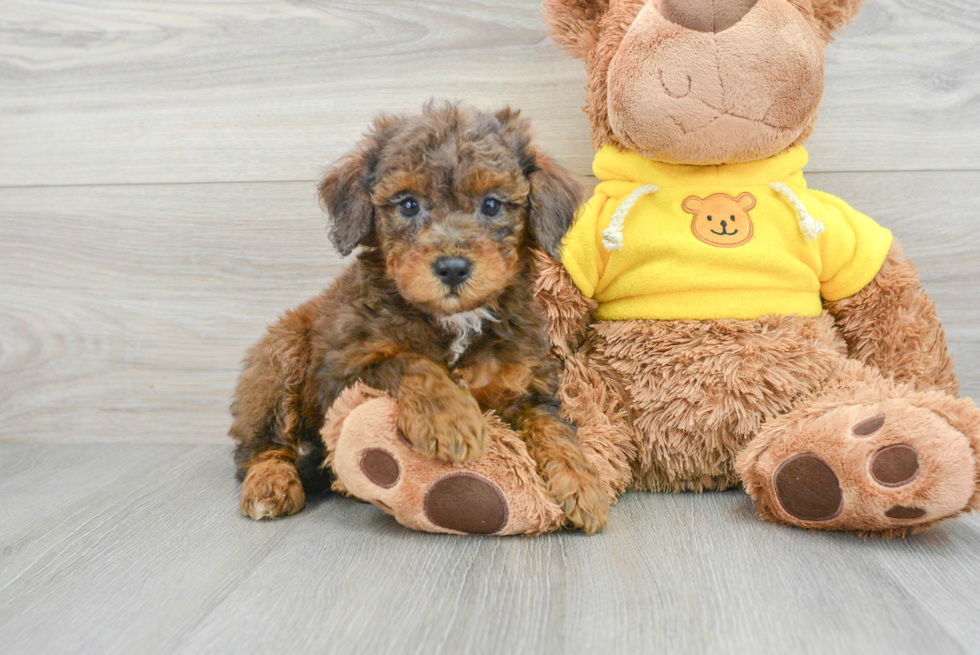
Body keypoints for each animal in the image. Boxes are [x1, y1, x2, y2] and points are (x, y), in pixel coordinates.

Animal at [232, 102, 612, 532]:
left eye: (492, 205)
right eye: (409, 204)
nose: (452, 268)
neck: (456, 320)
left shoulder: (526, 384)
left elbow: (554, 427)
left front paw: (582, 483)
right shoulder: (339, 371)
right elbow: (408, 362)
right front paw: (450, 419)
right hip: (281, 357)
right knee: (263, 445)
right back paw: (270, 485)